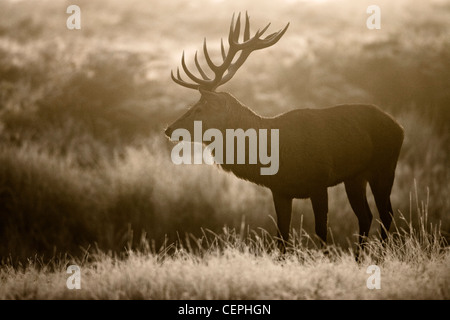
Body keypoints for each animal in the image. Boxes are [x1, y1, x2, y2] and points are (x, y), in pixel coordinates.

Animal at [165, 12, 404, 254]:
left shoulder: (319, 181)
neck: (277, 152)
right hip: (355, 176)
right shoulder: (280, 190)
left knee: (386, 214)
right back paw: (359, 257)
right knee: (366, 216)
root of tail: (399, 127)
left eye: (199, 108)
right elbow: (282, 236)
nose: (169, 129)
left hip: (385, 166)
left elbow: (321, 231)